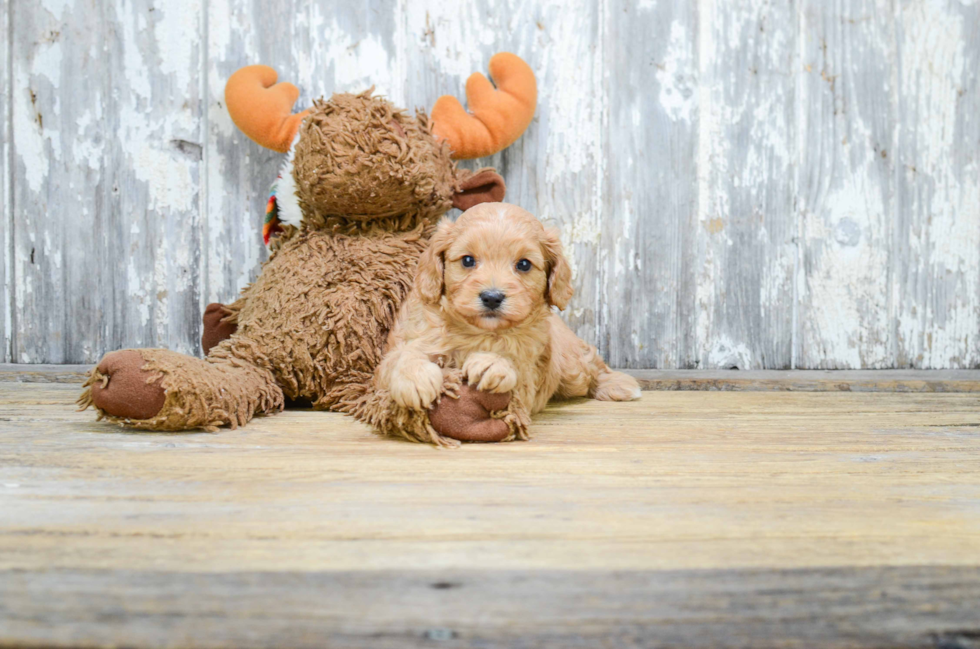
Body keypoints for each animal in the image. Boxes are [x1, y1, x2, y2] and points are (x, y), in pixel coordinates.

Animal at [376, 202, 644, 442]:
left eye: (523, 264)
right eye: (467, 260)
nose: (492, 297)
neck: (478, 332)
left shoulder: (529, 377)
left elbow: (515, 369)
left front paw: (494, 363)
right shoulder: (402, 347)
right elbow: (401, 356)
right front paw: (414, 379)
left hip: (572, 365)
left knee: (591, 363)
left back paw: (618, 383)